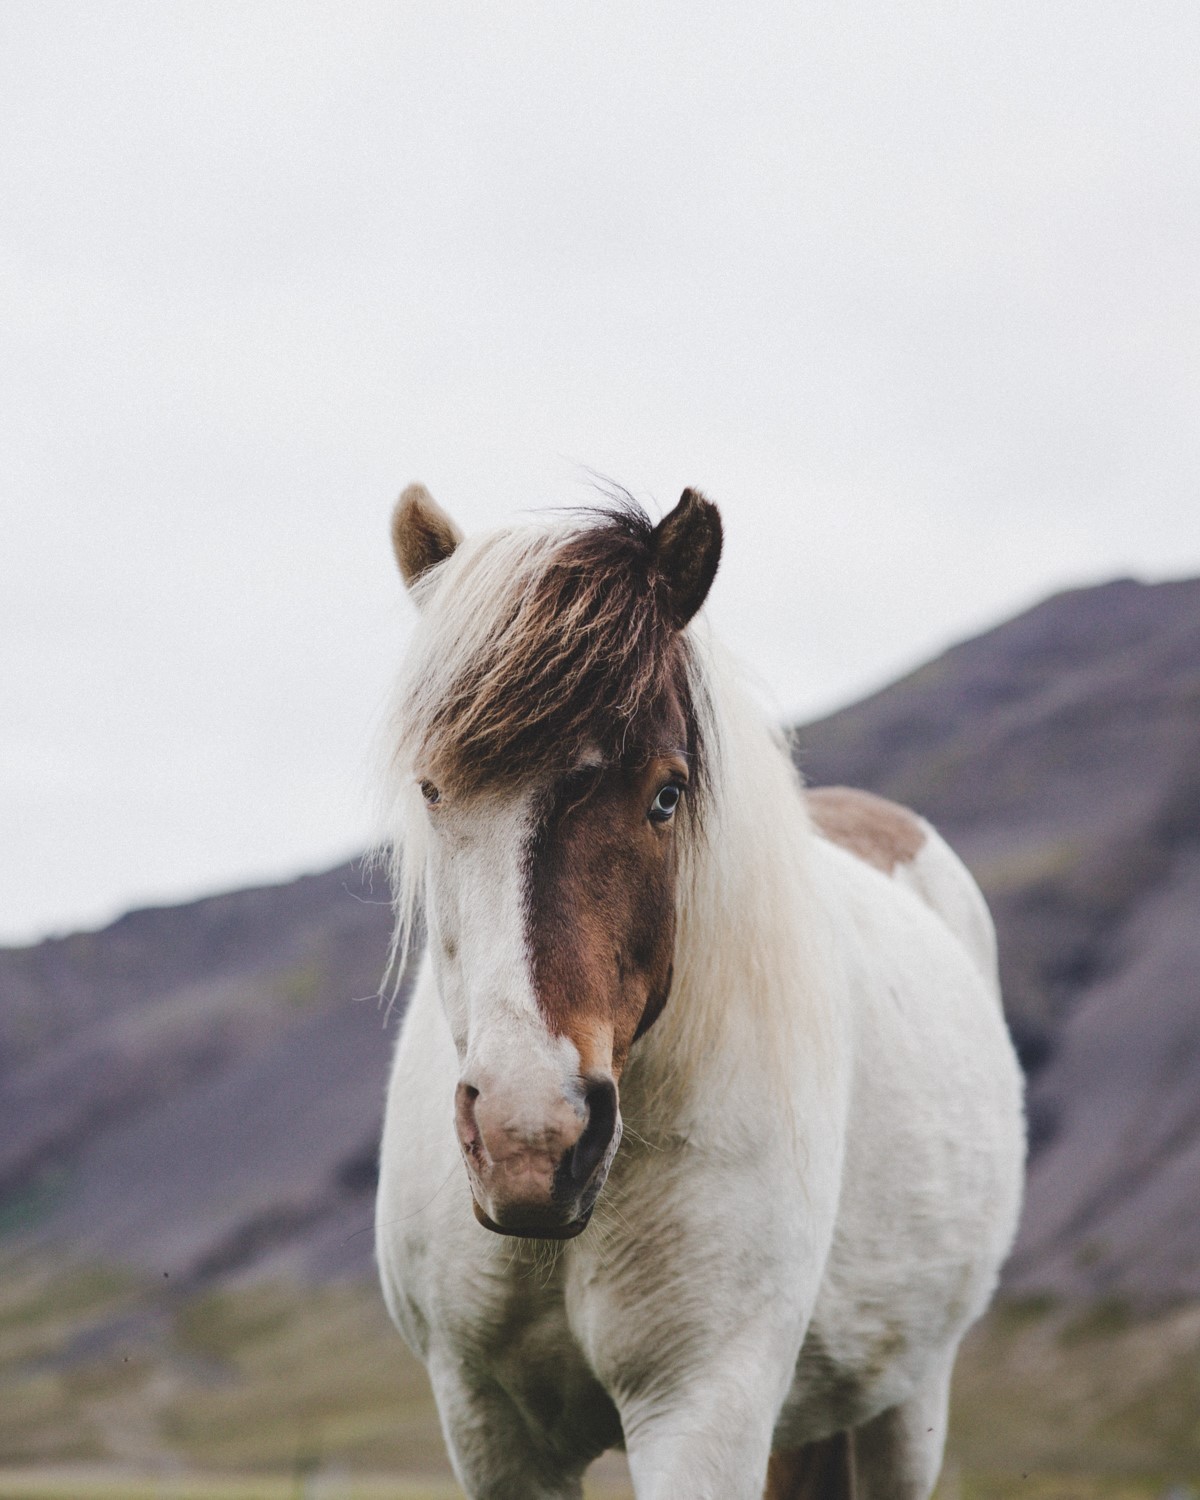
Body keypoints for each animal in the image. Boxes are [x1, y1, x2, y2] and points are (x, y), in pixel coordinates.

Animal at [372, 486, 1020, 1494]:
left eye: (666, 795)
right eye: (434, 790)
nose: (530, 1139)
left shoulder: (703, 1408)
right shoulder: (488, 1426)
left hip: (910, 1403)